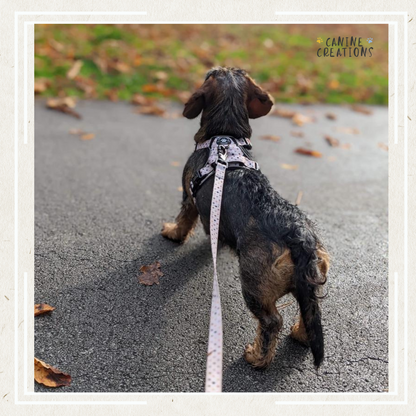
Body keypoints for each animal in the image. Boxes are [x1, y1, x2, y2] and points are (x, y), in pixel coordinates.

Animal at [161, 68, 330, 370]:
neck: (224, 137)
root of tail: (298, 234)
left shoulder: (188, 197)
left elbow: (183, 221)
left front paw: (171, 232)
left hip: (254, 287)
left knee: (272, 322)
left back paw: (256, 357)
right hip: (309, 282)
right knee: (309, 310)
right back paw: (300, 335)